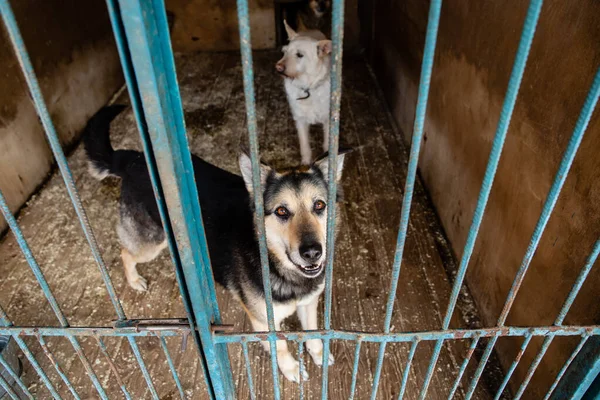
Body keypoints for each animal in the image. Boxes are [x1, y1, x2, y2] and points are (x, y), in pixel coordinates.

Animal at [276, 19, 332, 164]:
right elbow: (304, 145)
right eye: (284, 52)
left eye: (300, 55)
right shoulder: (300, 120)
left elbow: (327, 144)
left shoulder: (328, 119)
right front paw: (306, 163)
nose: (278, 67)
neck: (308, 88)